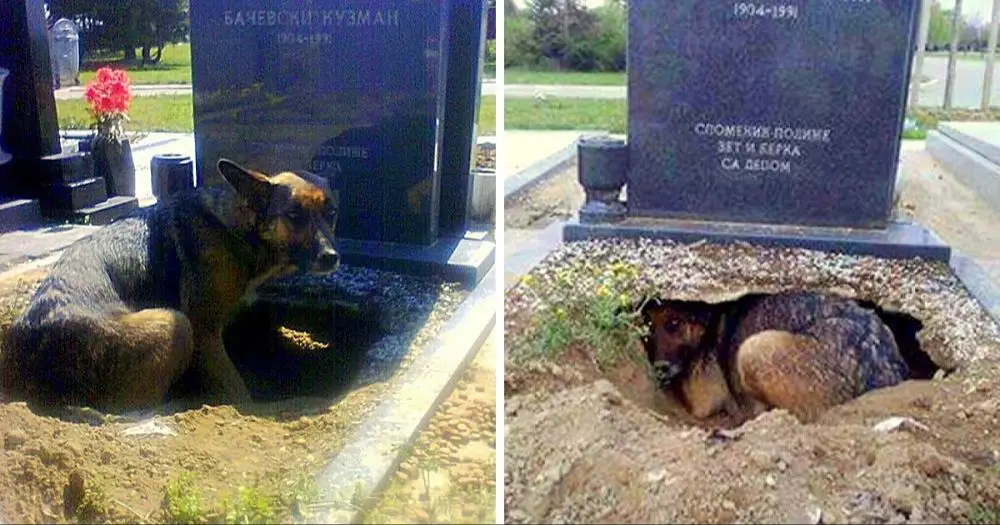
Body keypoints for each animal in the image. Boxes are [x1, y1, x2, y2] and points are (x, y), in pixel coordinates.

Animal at [0, 158, 342, 412]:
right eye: (294, 215)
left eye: (332, 213)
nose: (332, 258)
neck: (235, 230)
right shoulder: (204, 332)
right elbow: (237, 390)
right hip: (173, 323)